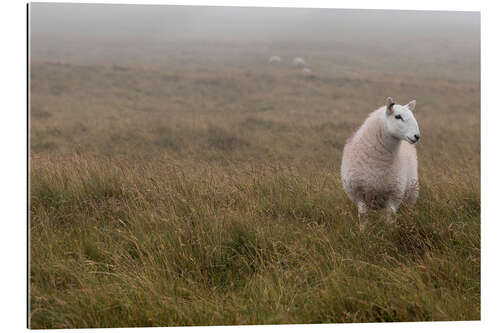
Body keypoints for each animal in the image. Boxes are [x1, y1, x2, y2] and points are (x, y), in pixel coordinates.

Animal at [342, 97, 420, 230]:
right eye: (398, 116)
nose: (417, 136)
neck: (378, 164)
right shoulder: (357, 192)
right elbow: (363, 215)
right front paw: (363, 231)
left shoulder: (395, 193)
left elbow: (389, 215)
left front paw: (389, 231)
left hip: (411, 195)